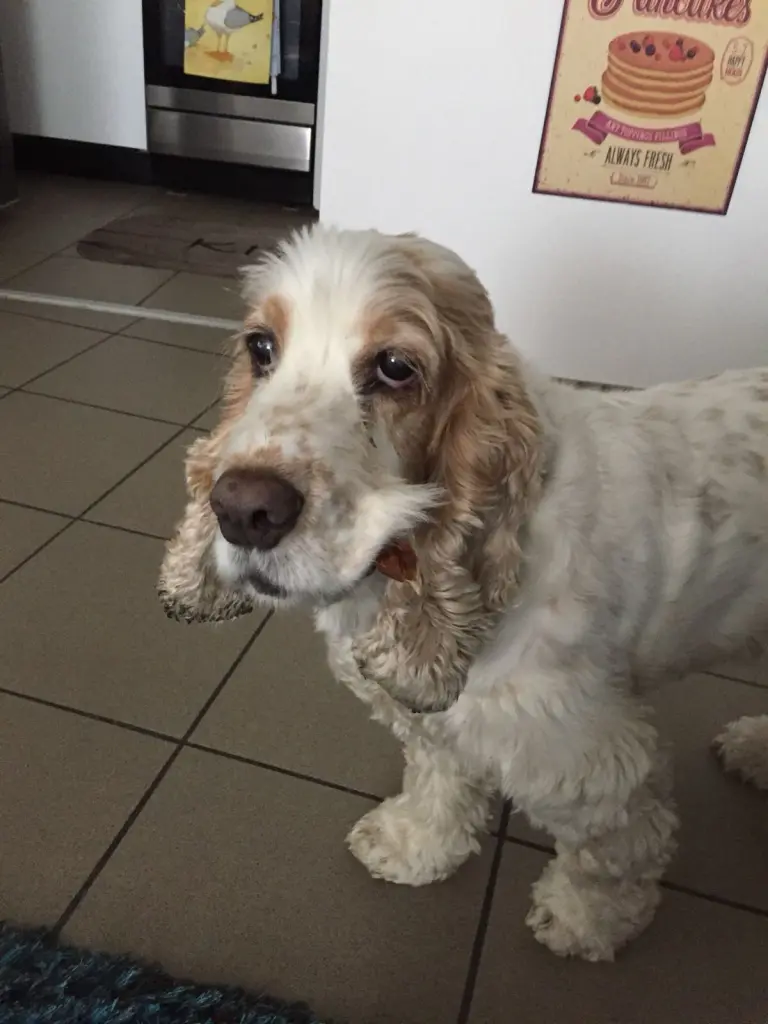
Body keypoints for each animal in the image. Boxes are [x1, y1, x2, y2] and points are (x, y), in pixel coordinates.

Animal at [159, 226, 768, 962]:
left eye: (396, 367)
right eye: (261, 348)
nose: (244, 510)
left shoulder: (587, 757)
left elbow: (613, 852)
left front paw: (587, 922)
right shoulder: (434, 719)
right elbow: (438, 782)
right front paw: (412, 846)